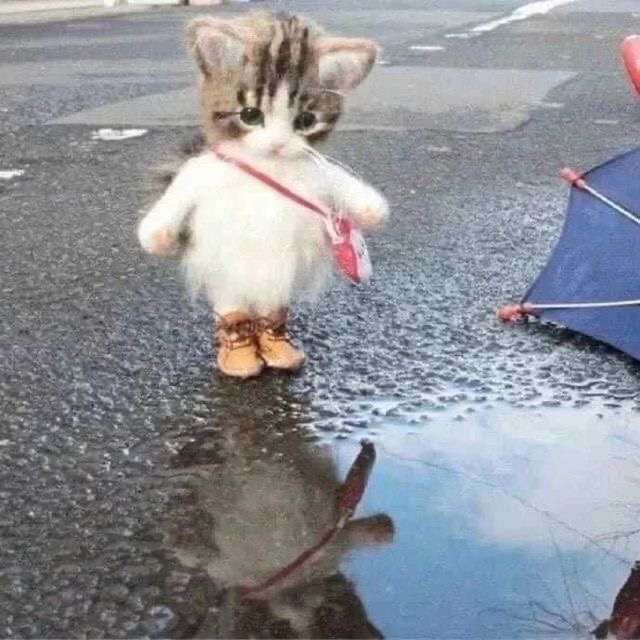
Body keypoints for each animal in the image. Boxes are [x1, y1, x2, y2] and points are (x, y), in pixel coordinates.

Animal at [138, 12, 388, 378]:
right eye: (250, 115)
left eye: (306, 120)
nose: (279, 144)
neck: (269, 165)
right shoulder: (202, 173)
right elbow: (180, 192)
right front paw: (154, 237)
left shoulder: (317, 172)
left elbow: (339, 181)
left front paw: (374, 212)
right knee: (233, 303)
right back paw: (240, 355)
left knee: (271, 305)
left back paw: (279, 348)